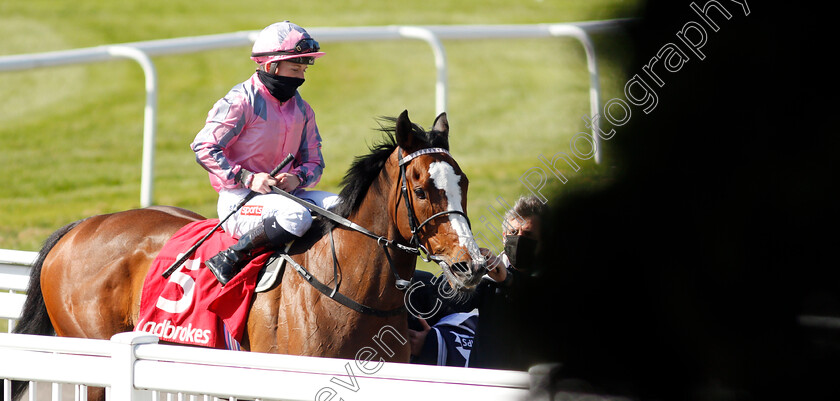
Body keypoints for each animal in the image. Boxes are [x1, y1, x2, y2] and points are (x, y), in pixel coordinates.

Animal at [11, 108, 486, 396]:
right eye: (421, 190)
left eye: (463, 182)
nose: (470, 264)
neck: (346, 292)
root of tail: (79, 227)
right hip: (89, 353)